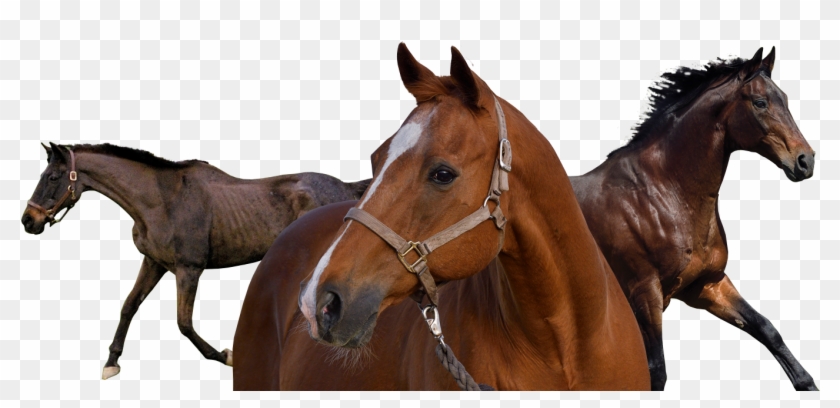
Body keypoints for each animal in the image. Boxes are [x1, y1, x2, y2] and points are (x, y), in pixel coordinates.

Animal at [21, 142, 370, 380]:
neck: (162, 201)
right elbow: (129, 306)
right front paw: (111, 363)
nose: (28, 220)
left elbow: (184, 323)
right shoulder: (154, 263)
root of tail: (349, 188)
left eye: (53, 177)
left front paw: (226, 355)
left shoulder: (189, 269)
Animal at [570, 47, 818, 391]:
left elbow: (767, 329)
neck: (662, 195)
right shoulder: (645, 294)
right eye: (760, 102)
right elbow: (656, 371)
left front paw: (807, 383)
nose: (805, 160)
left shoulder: (706, 285)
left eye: (785, 98)